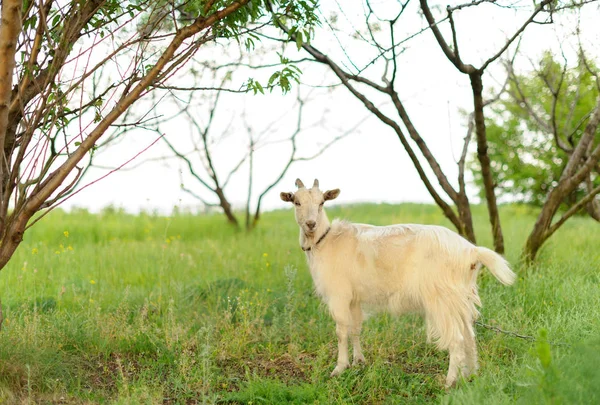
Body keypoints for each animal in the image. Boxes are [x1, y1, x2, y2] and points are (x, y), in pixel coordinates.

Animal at [282, 178, 516, 386]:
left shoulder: (339, 295)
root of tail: (471, 251)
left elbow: (341, 332)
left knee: (457, 338)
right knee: (469, 336)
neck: (325, 241)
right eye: (296, 202)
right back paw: (470, 374)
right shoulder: (354, 298)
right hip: (461, 298)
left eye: (322, 202)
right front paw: (359, 362)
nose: (310, 224)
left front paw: (339, 368)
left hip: (443, 298)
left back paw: (450, 381)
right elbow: (356, 329)